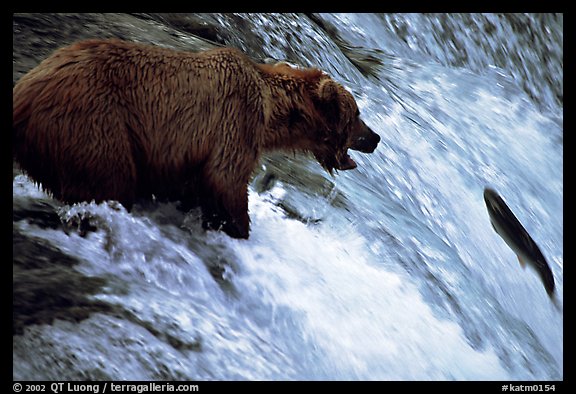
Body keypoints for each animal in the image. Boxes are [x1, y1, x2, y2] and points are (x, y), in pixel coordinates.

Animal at [13, 38, 380, 239]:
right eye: (356, 114)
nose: (375, 137)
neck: (270, 113)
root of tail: (24, 92)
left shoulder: (178, 156)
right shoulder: (234, 122)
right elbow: (225, 180)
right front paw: (238, 228)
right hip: (95, 122)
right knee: (111, 180)